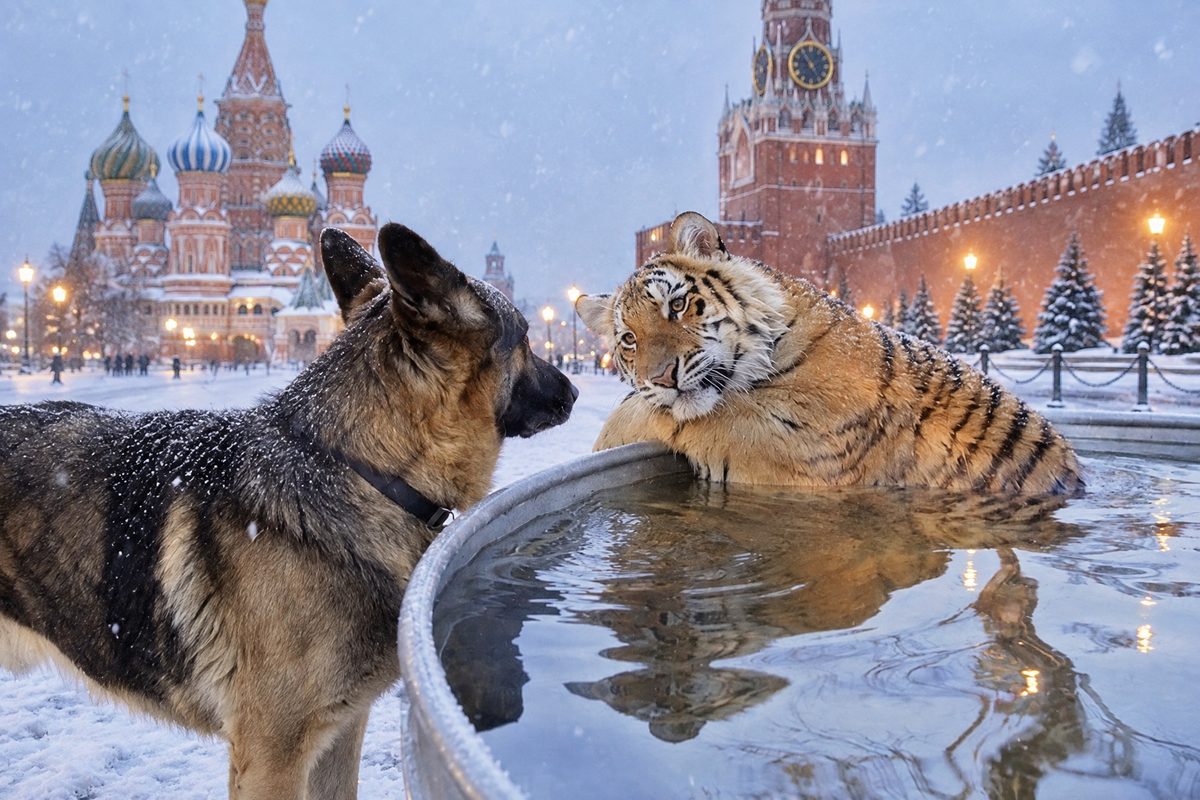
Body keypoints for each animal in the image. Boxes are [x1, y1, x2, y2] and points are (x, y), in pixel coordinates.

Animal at [577, 211, 1083, 496]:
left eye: (677, 305)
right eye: (629, 340)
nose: (660, 377)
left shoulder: (799, 443)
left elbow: (681, 417)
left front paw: (608, 435)